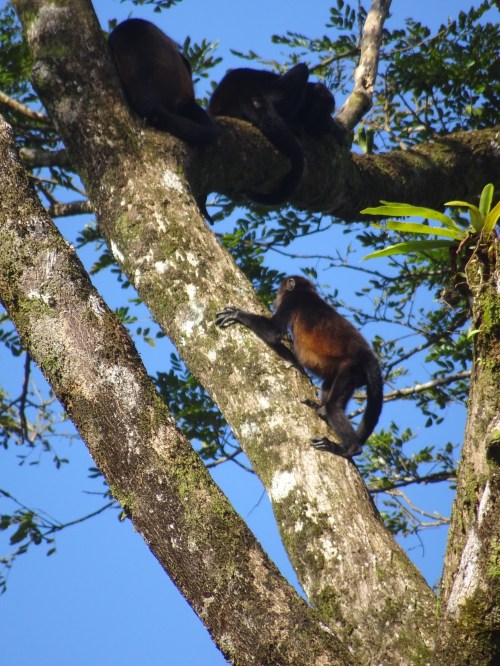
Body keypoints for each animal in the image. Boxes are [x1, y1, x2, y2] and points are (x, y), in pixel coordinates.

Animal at [215, 276, 383, 458]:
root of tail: (369, 356)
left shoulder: (291, 300)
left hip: (351, 368)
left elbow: (273, 332)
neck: (306, 291)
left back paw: (348, 448)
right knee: (328, 388)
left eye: (279, 292)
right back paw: (320, 409)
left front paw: (239, 314)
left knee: (333, 408)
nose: (274, 301)